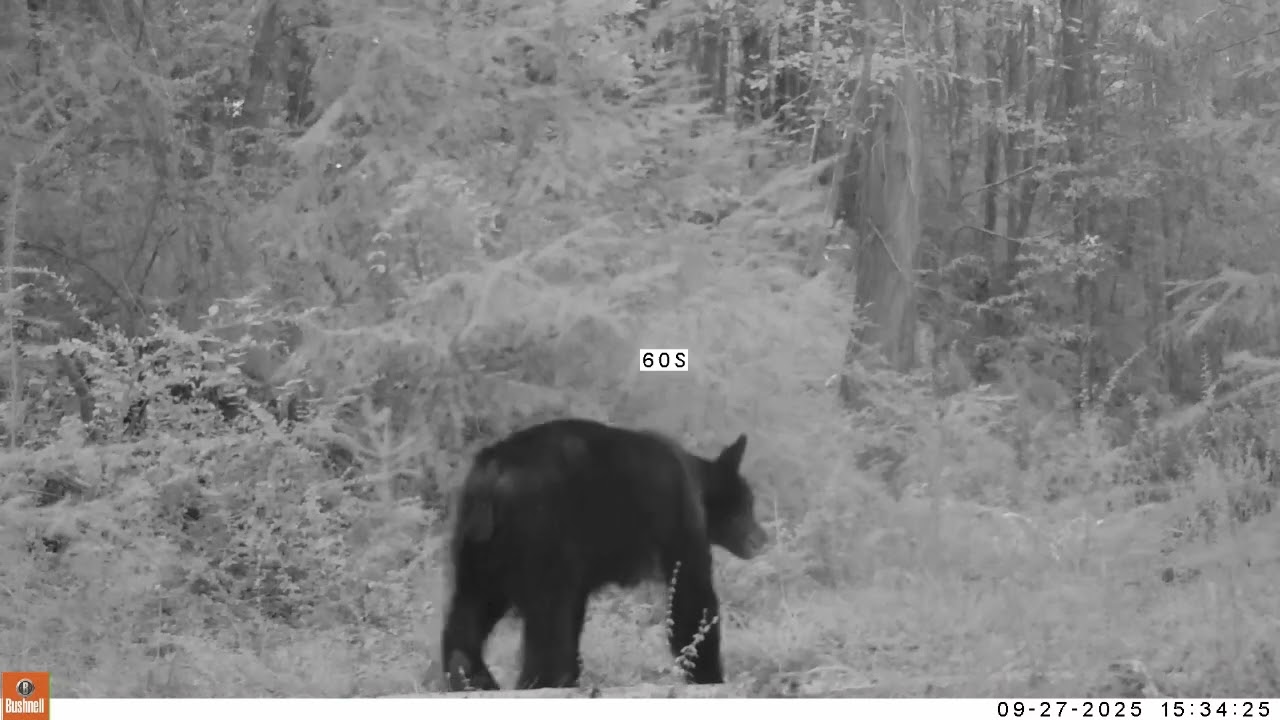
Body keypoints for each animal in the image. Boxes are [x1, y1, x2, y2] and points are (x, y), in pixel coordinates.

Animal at [440, 417, 768, 691]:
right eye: (747, 504)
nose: (762, 538)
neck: (695, 479)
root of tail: (492, 474)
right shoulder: (679, 515)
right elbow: (691, 593)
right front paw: (710, 677)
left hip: (478, 547)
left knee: (469, 609)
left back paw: (471, 677)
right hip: (540, 530)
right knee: (549, 618)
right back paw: (545, 681)